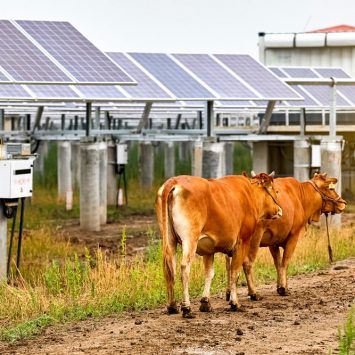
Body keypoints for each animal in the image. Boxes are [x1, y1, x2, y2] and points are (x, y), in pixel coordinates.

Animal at [156, 173, 284, 320]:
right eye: (275, 190)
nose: (280, 210)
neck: (249, 194)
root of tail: (174, 181)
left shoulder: (208, 248)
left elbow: (209, 273)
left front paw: (205, 302)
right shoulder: (242, 242)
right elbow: (235, 272)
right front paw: (235, 303)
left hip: (169, 239)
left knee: (169, 268)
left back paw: (172, 306)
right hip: (190, 238)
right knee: (184, 268)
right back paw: (186, 308)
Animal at [231, 172, 348, 300]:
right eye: (331, 188)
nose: (343, 203)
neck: (301, 197)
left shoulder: (273, 241)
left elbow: (278, 263)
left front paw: (280, 286)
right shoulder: (294, 235)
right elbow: (285, 261)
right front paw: (283, 288)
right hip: (253, 239)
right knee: (247, 263)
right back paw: (253, 293)